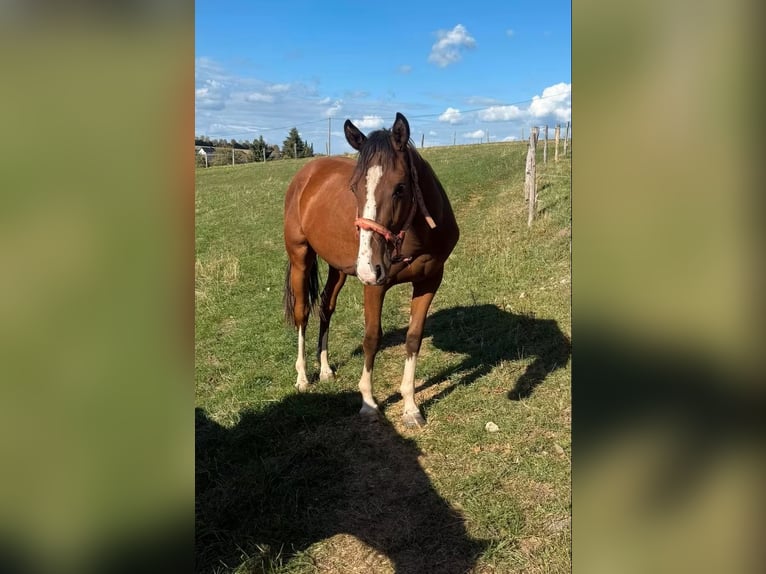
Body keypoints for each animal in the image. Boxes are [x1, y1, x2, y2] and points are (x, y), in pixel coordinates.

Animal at [283, 113, 459, 427]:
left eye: (400, 187)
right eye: (354, 188)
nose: (368, 267)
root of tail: (306, 174)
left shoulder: (429, 281)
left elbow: (413, 339)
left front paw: (410, 406)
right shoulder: (375, 286)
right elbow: (372, 338)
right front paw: (368, 402)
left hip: (338, 268)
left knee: (325, 307)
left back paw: (325, 369)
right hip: (300, 257)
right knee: (302, 313)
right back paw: (302, 376)